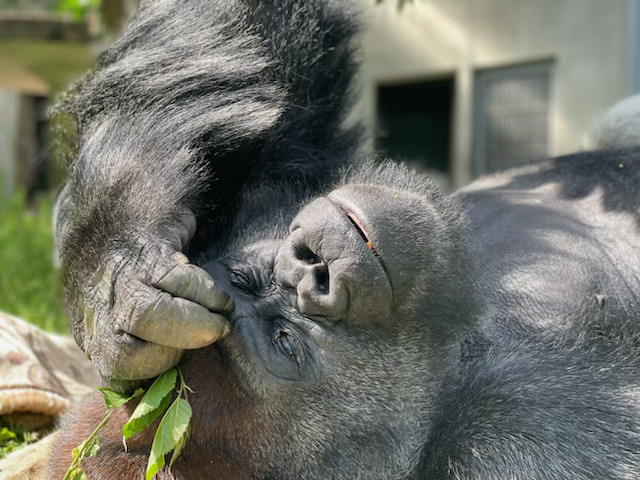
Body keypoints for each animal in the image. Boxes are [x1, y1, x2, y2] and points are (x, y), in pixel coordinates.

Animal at [50, 0, 640, 480]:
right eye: (286, 342)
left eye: (243, 277)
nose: (313, 269)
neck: (456, 348)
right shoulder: (505, 446)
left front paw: (114, 271)